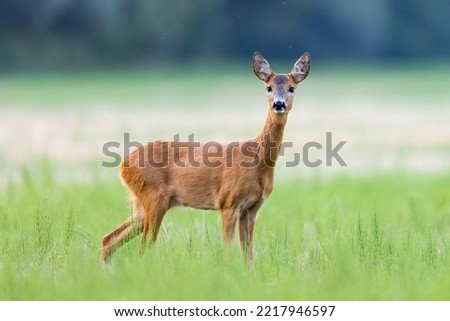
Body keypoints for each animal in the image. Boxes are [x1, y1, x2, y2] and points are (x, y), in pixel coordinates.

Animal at [100, 51, 310, 262]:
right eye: (269, 87)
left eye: (292, 88)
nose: (278, 104)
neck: (258, 162)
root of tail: (123, 165)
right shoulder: (228, 202)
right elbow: (227, 251)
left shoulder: (252, 208)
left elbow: (248, 255)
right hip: (154, 197)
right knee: (143, 247)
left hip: (141, 204)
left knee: (108, 239)